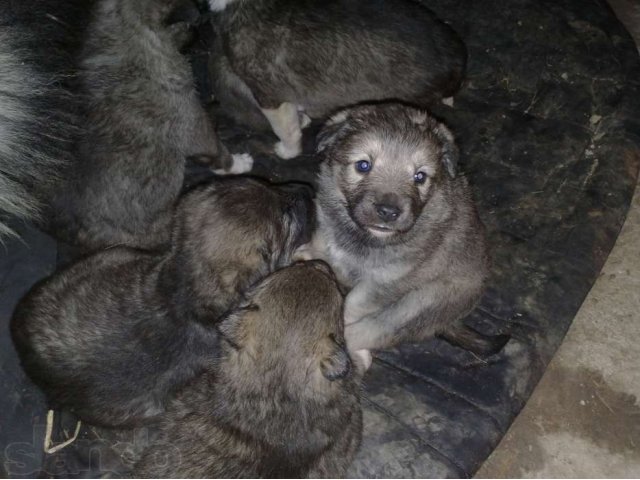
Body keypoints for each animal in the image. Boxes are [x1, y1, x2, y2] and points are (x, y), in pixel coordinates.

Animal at [298, 104, 510, 368]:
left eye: (420, 177)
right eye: (363, 165)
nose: (389, 212)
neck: (362, 236)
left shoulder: (384, 282)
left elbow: (352, 306)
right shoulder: (327, 228)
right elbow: (322, 245)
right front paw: (306, 256)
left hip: (420, 304)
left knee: (371, 331)